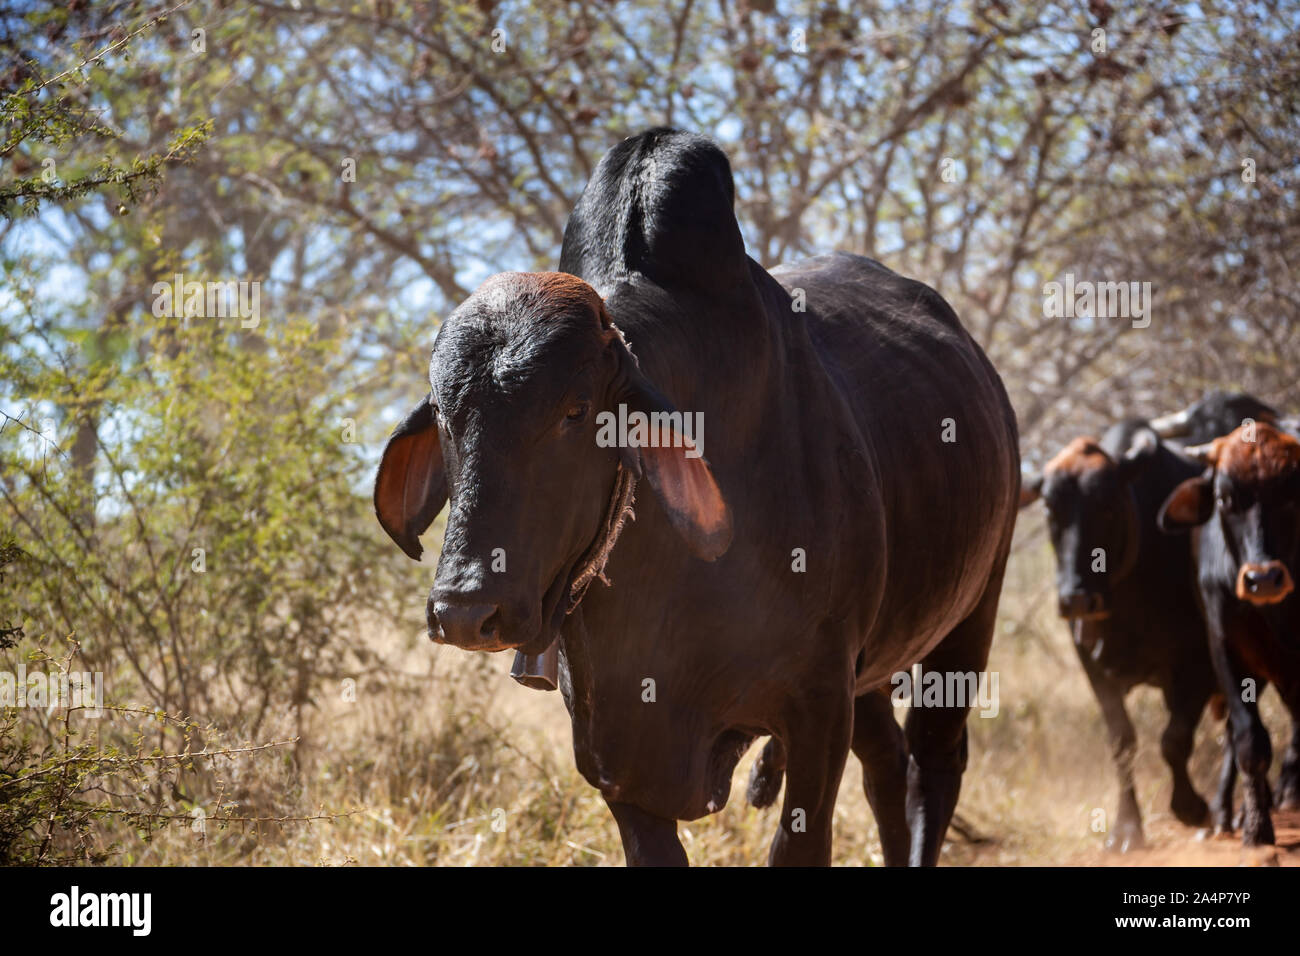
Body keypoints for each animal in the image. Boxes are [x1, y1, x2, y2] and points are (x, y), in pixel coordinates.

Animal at [371, 127, 1019, 868]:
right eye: (446, 415)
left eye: (574, 412)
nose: (465, 611)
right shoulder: (615, 759)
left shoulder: (819, 709)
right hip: (876, 670)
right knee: (886, 763)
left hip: (970, 618)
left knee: (933, 767)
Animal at [1019, 421, 1222, 848]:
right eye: (1050, 508)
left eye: (1108, 505)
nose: (1078, 599)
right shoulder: (1093, 668)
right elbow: (1121, 741)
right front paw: (1127, 828)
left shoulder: (1197, 663)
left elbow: (1174, 739)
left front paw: (1192, 807)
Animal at [1159, 424, 1300, 842]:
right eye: (1225, 499)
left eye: (1292, 493)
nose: (1263, 579)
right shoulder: (1225, 648)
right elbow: (1249, 740)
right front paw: (1256, 831)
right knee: (1235, 736)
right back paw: (1228, 812)